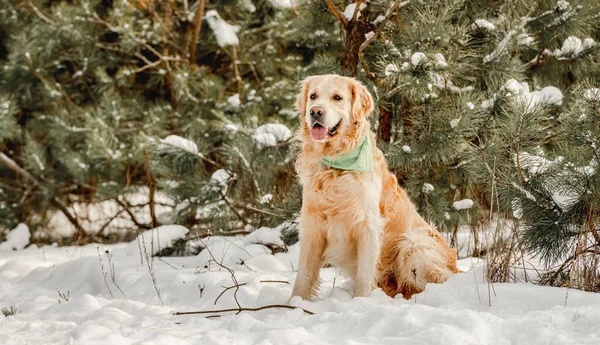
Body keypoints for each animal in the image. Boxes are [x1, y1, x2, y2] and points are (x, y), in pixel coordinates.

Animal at [290, 74, 454, 298]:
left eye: (337, 97)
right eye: (313, 96)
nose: (315, 111)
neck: (336, 167)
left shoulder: (368, 226)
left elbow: (364, 275)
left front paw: (360, 301)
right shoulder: (312, 224)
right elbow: (304, 275)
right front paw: (295, 302)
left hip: (413, 244)